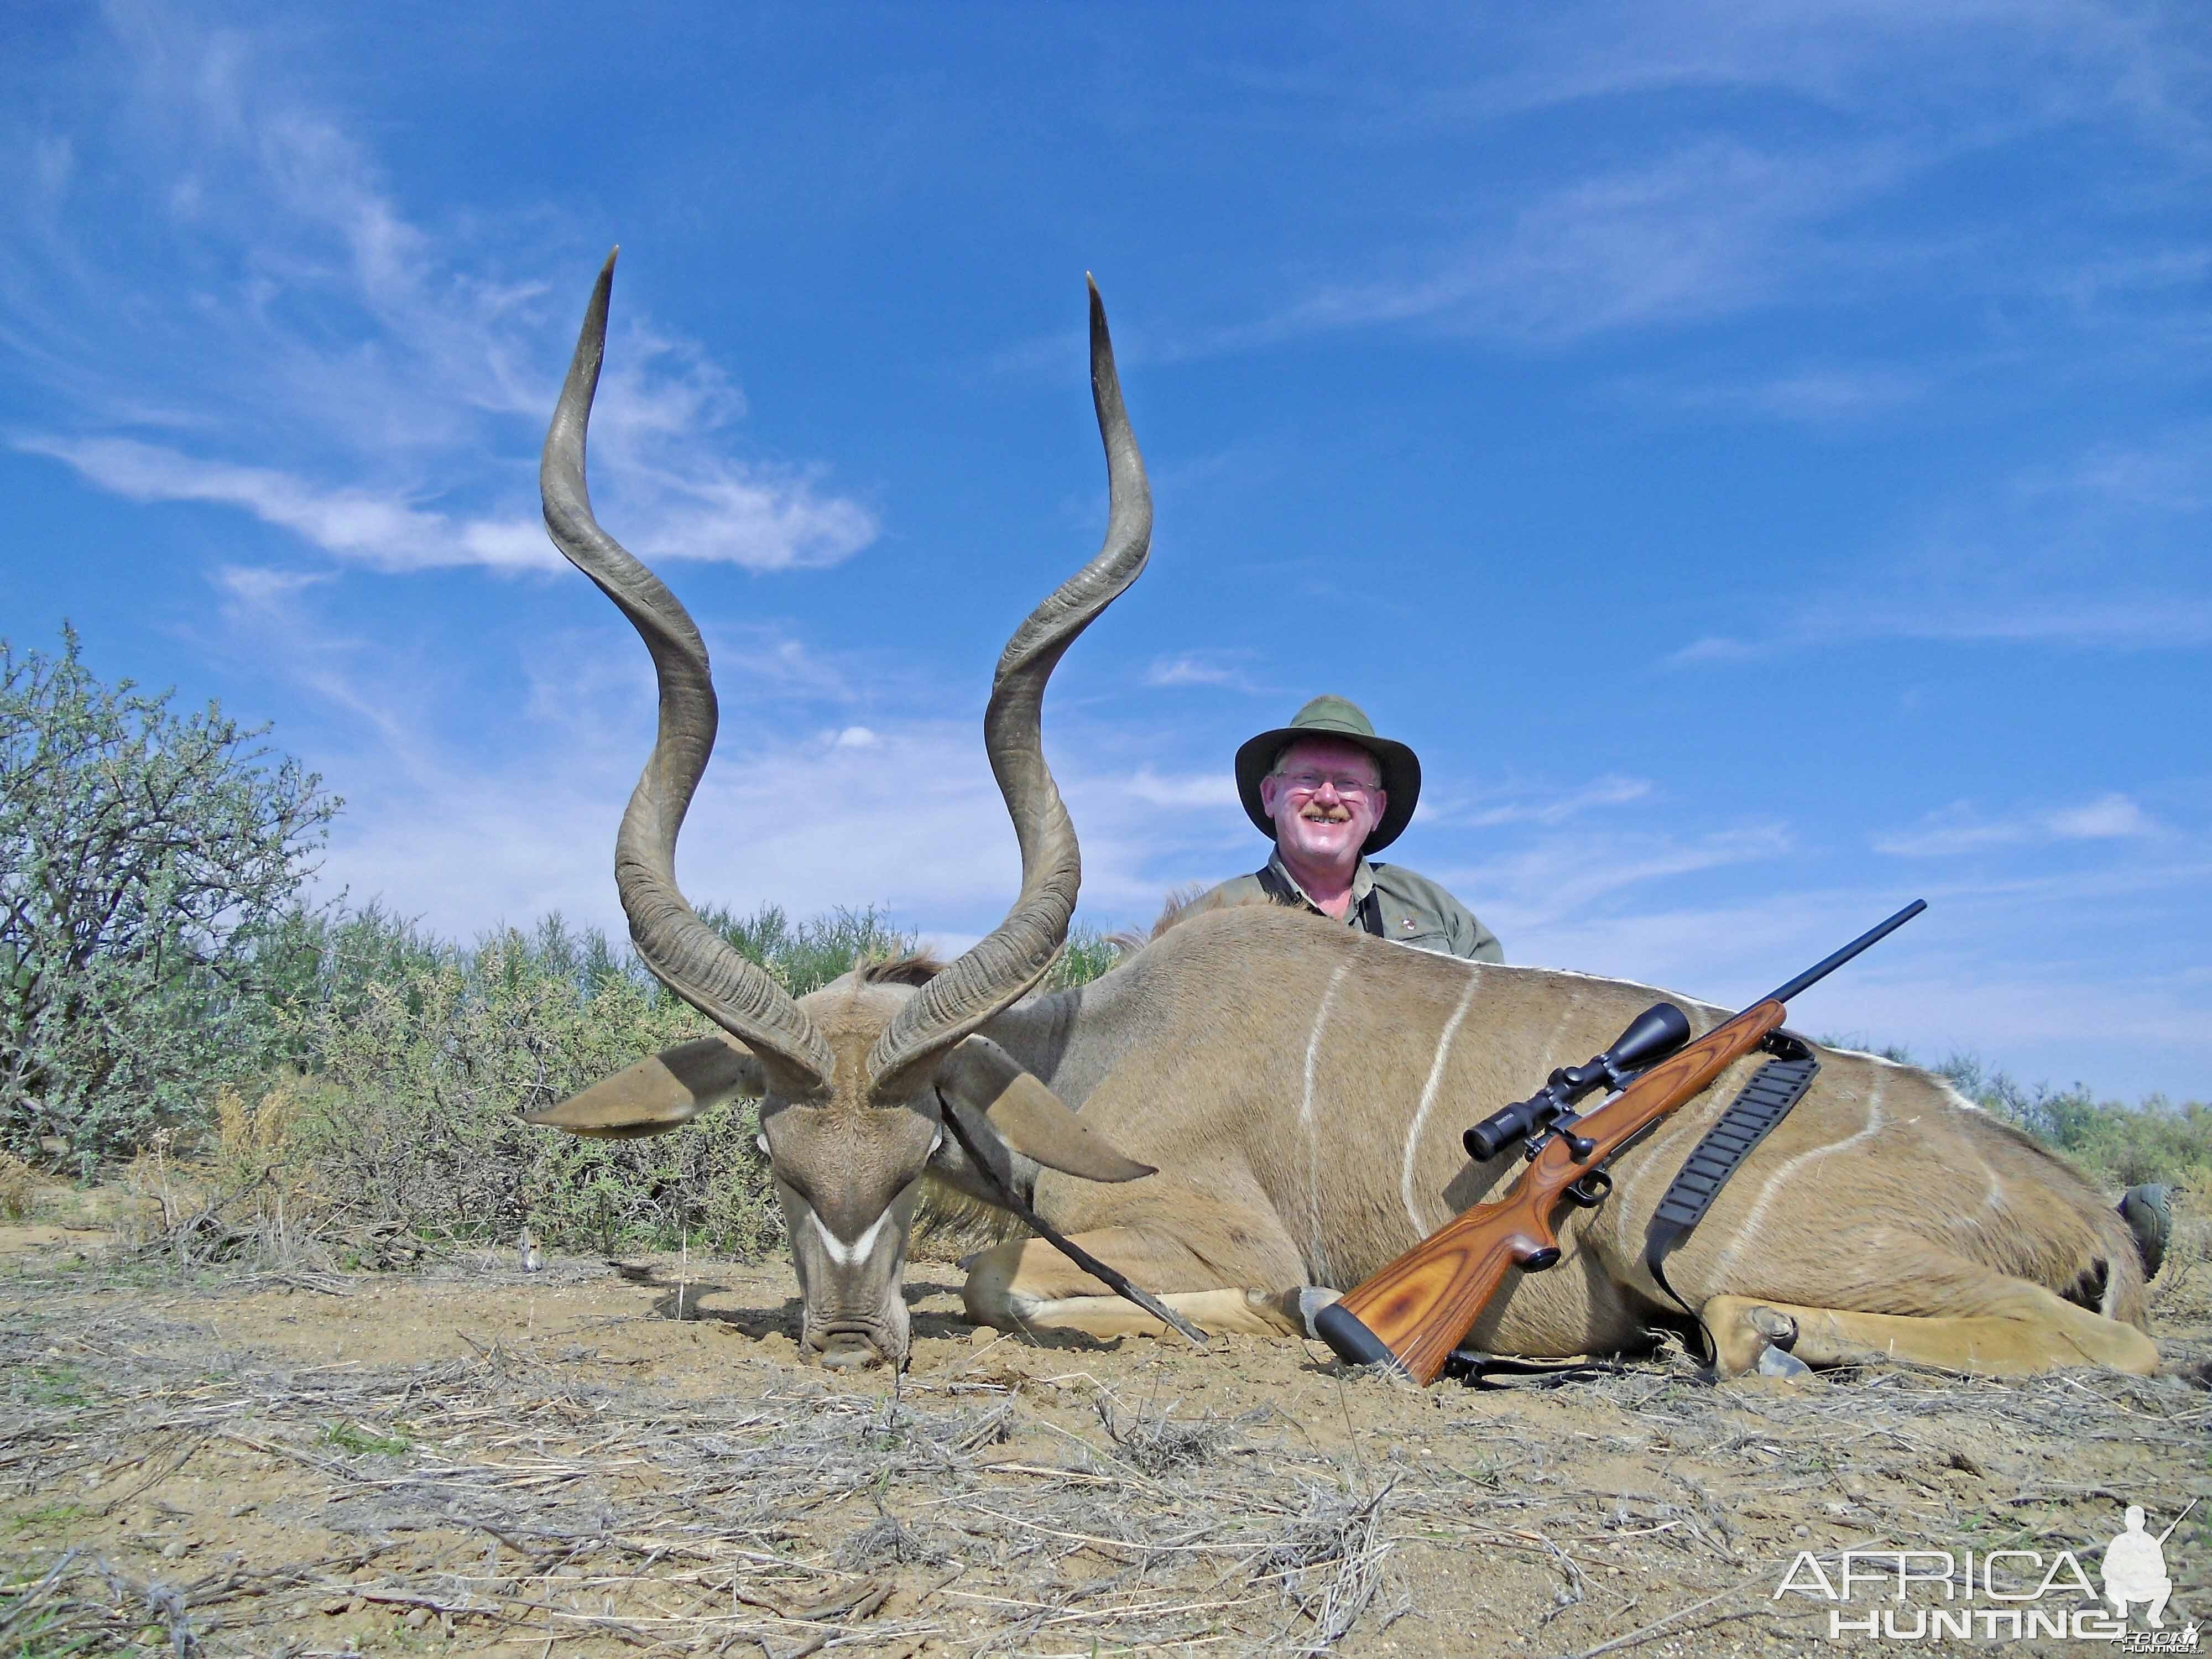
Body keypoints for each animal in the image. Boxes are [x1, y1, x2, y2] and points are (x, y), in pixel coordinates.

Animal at [531, 257, 2159, 1380]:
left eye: (923, 1142)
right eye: (773, 1159)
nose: (850, 1341)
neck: (1085, 1052)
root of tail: (2078, 1201)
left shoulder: (1189, 1231)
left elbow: (1022, 1285)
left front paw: (1287, 1312)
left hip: (1703, 1238)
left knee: (2090, 1340)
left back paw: (1765, 1339)